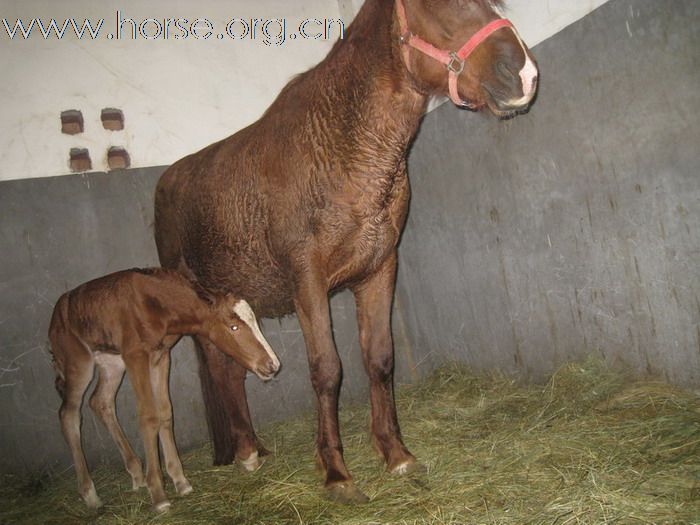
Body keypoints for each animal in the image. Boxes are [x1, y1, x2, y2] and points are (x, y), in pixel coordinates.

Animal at [48, 268, 282, 510]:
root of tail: (56, 316)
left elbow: (165, 413)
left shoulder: (160, 355)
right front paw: (159, 495)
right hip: (79, 363)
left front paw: (181, 482)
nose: (272, 365)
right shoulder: (136, 356)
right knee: (69, 415)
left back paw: (136, 475)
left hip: (111, 362)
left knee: (100, 402)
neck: (152, 304)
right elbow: (148, 417)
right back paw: (91, 495)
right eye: (233, 327)